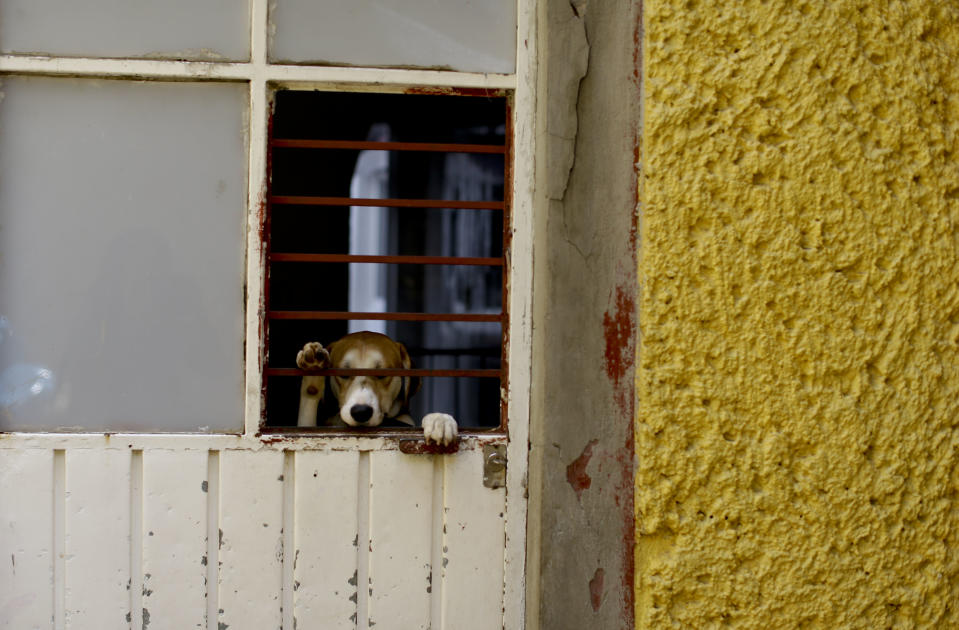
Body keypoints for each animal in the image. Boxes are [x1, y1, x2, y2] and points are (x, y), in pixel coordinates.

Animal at [294, 334, 460, 446]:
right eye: (344, 374)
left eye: (381, 374)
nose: (360, 412)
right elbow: (309, 397)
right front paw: (313, 366)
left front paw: (439, 420)